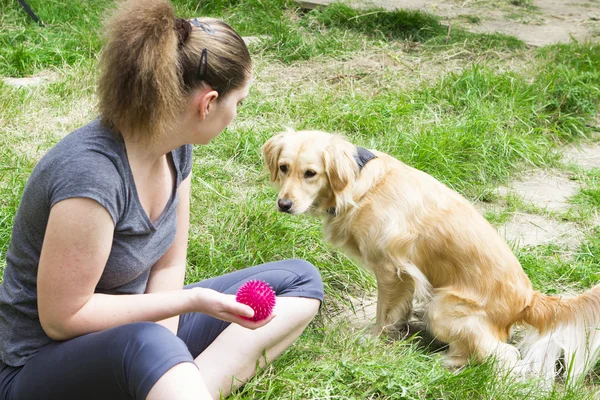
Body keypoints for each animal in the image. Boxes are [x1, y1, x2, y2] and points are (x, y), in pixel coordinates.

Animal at [262, 130, 600, 382]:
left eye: (311, 173)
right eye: (284, 167)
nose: (284, 204)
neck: (358, 184)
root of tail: (527, 299)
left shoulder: (391, 269)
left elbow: (385, 312)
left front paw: (375, 338)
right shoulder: (405, 277)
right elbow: (397, 311)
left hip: (443, 308)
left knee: (503, 357)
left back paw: (444, 363)